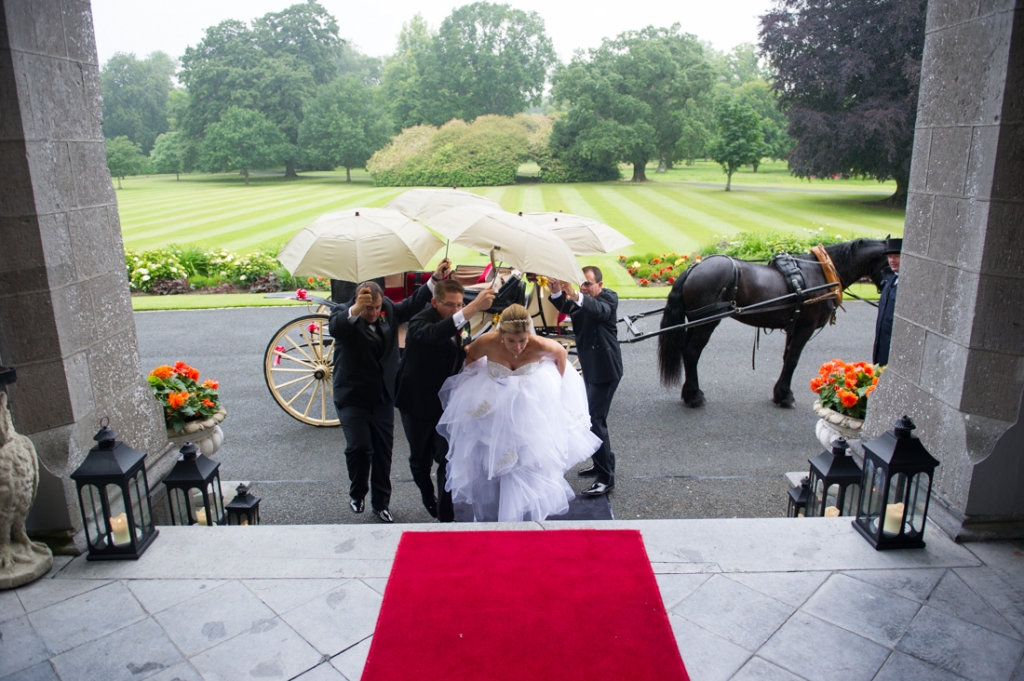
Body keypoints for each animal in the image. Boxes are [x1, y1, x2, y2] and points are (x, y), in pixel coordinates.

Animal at [655, 238, 888, 409]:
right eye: (892, 260)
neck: (822, 273)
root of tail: (693, 268)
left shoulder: (794, 327)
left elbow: (787, 358)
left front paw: (780, 393)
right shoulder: (805, 328)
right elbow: (793, 360)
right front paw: (785, 396)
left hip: (696, 321)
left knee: (687, 352)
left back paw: (690, 393)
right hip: (706, 323)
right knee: (692, 353)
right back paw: (695, 397)